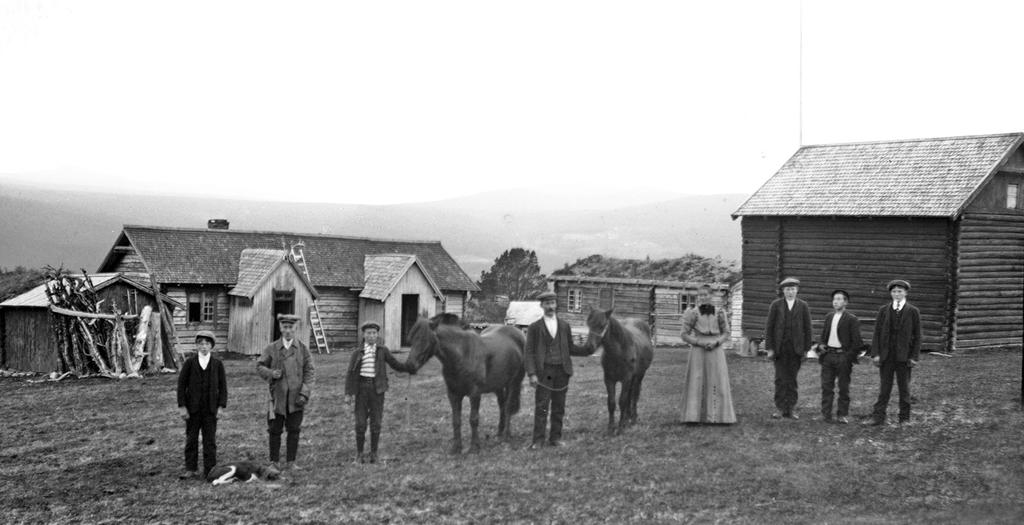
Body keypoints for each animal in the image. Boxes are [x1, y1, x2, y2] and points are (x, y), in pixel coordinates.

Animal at [403, 313, 524, 452]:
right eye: (411, 339)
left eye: (424, 339)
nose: (410, 366)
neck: (462, 355)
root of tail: (518, 332)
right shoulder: (453, 394)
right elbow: (456, 420)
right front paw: (456, 447)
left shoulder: (475, 394)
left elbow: (473, 419)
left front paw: (474, 446)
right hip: (498, 386)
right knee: (502, 405)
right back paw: (499, 432)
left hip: (513, 383)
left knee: (508, 406)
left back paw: (506, 436)